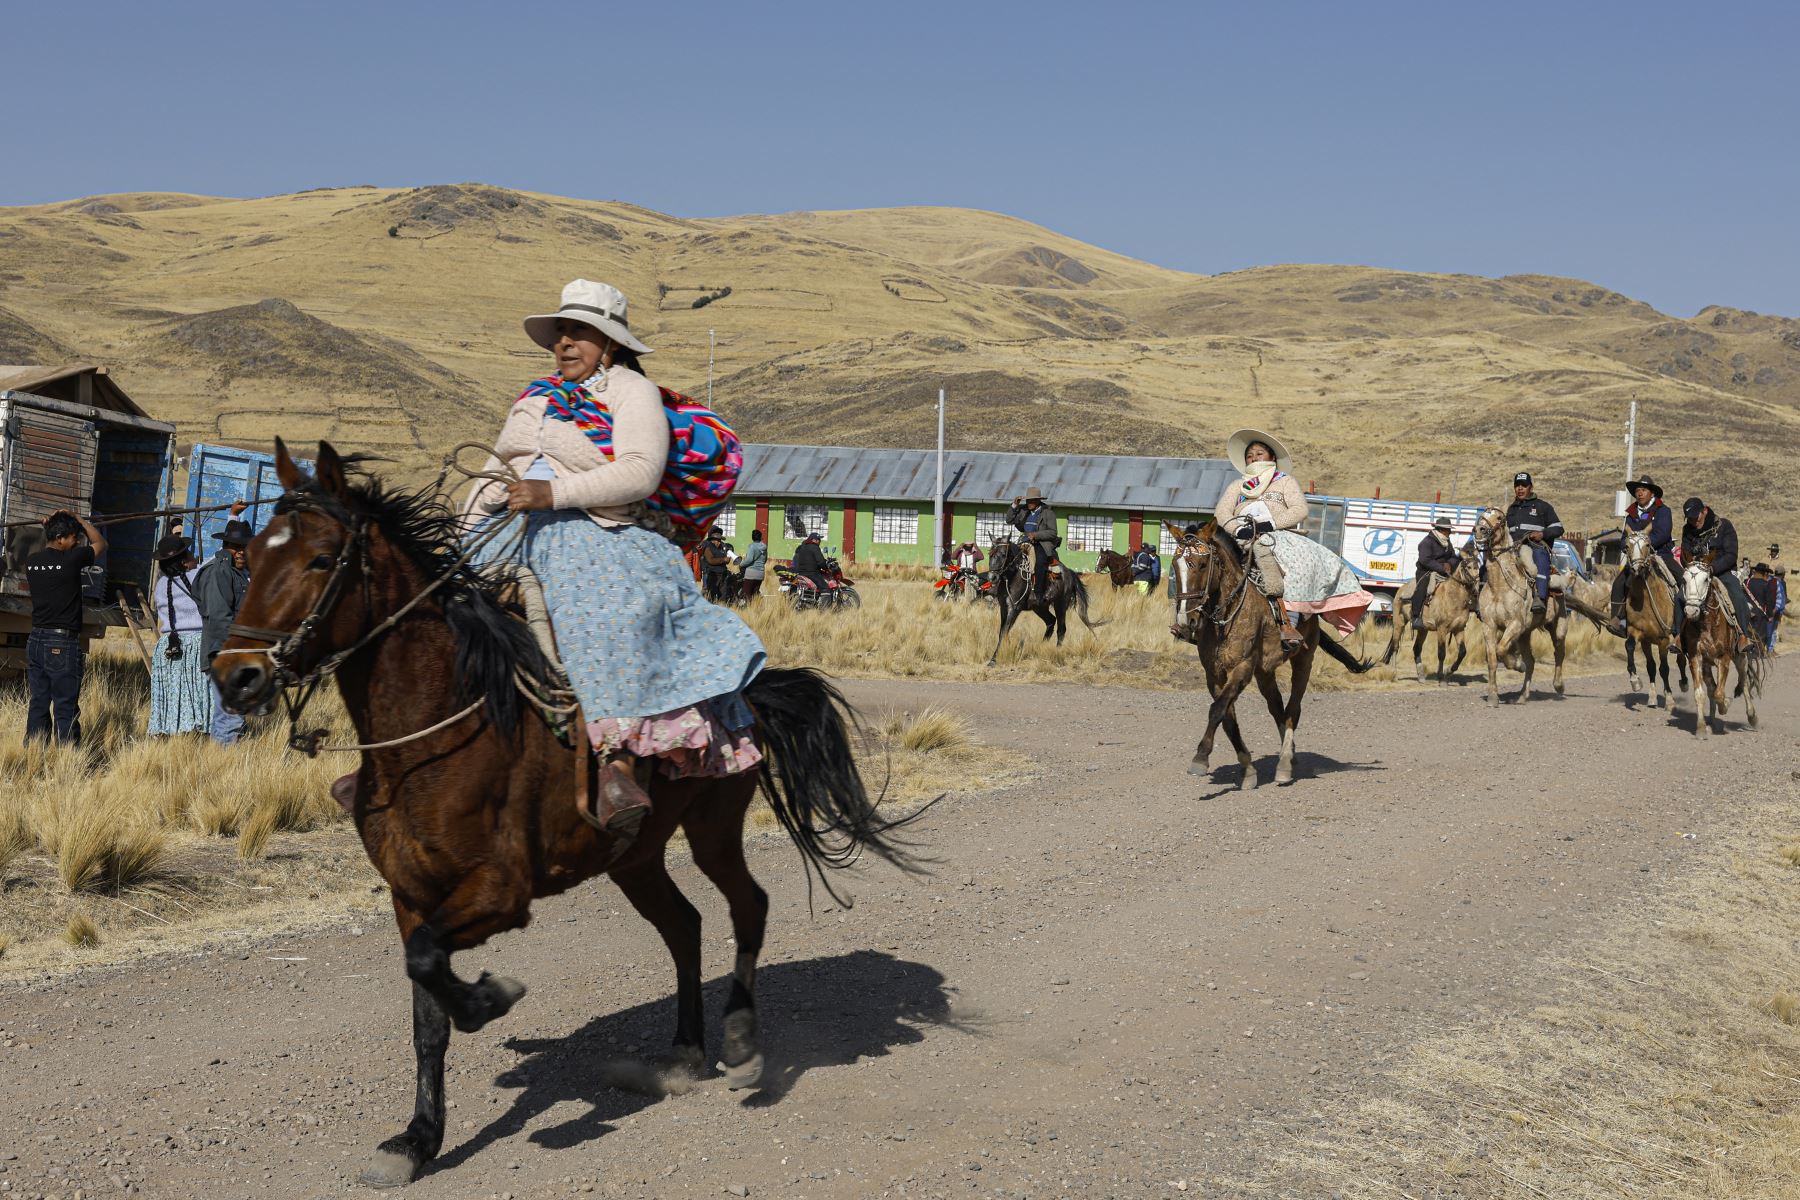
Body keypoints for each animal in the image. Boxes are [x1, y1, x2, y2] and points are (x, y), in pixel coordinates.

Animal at [210, 444, 914, 1194]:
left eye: (321, 559)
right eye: (256, 549)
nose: (235, 676)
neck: (436, 735)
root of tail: (754, 688)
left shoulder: (500, 893)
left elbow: (433, 965)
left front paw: (491, 997)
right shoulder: (411, 895)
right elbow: (425, 1007)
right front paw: (418, 1140)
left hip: (713, 830)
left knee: (747, 906)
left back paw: (741, 1042)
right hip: (634, 856)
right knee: (684, 926)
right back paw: (682, 1054)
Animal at [1159, 521, 1368, 788]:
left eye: (1203, 564)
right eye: (1176, 565)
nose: (1186, 622)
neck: (1227, 617)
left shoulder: (1242, 668)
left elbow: (1217, 710)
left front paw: (1200, 758)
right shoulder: (1214, 675)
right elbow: (1227, 718)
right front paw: (1248, 770)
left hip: (1303, 661)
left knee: (1293, 710)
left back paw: (1285, 765)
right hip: (1264, 671)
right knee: (1277, 707)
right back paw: (1289, 755)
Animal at [1382, 550, 1483, 683]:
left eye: (1478, 567)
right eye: (1469, 567)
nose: (1476, 589)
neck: (1453, 597)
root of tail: (1401, 589)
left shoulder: (1459, 629)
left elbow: (1462, 652)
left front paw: (1448, 671)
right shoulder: (1442, 629)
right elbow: (1441, 653)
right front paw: (1441, 677)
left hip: (1423, 629)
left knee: (1416, 648)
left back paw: (1421, 676)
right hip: (1399, 623)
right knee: (1395, 646)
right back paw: (1394, 675)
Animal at [1677, 557, 1764, 737]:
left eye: (1705, 579)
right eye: (1684, 580)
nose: (1691, 610)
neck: (1707, 624)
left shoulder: (1724, 658)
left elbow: (1719, 693)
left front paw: (1725, 704)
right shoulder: (1696, 658)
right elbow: (1701, 694)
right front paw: (1701, 728)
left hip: (1740, 657)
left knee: (1744, 683)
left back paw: (1752, 717)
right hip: (1707, 664)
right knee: (1712, 687)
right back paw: (1712, 721)